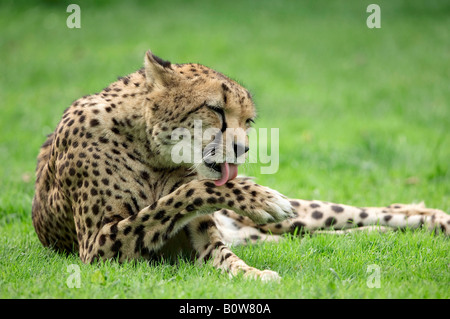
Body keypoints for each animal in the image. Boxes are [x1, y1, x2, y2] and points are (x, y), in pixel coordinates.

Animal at [33, 49, 450, 280]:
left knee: (361, 212)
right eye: (215, 109)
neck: (153, 152)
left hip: (298, 214)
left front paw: (254, 273)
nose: (244, 149)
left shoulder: (203, 242)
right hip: (272, 229)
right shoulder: (97, 247)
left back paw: (431, 218)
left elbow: (199, 217)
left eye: (247, 120)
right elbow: (187, 193)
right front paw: (258, 201)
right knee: (314, 234)